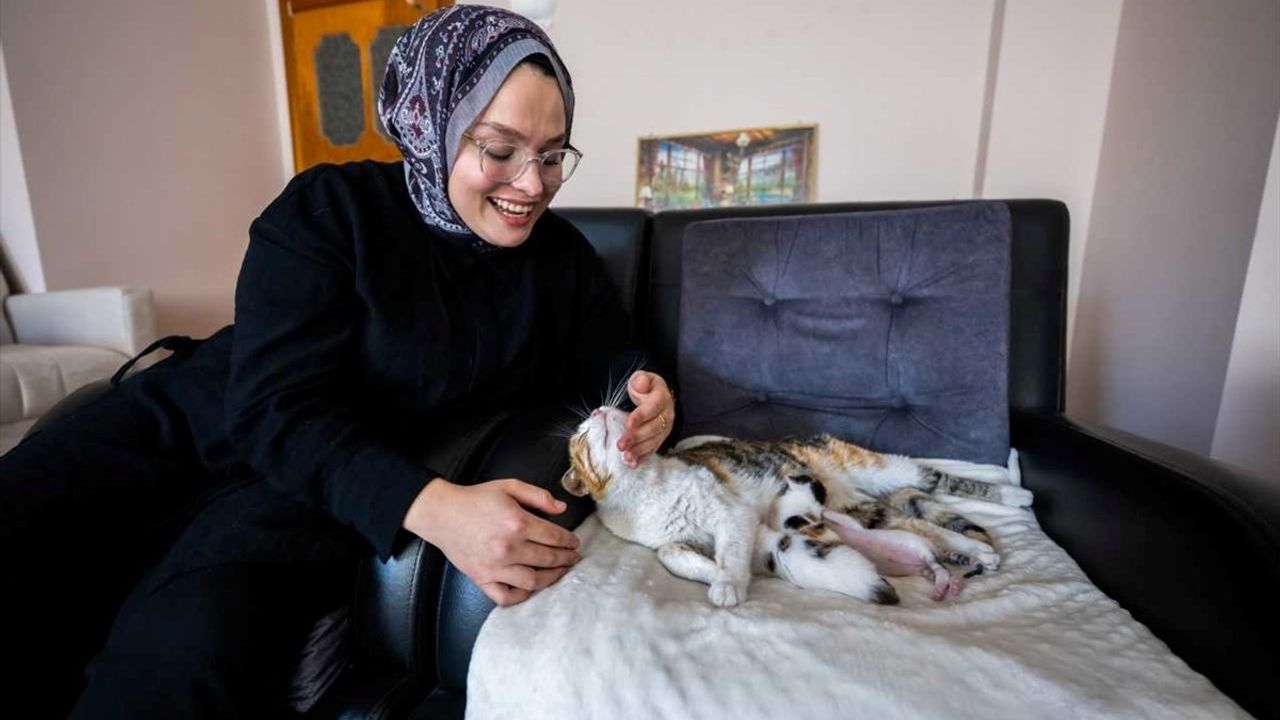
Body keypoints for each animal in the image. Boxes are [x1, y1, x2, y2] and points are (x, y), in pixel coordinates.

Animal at [560, 404, 1029, 604]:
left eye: (619, 409)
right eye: (581, 436)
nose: (599, 409)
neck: (644, 485)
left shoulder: (731, 512)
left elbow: (732, 549)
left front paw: (729, 583)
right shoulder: (668, 540)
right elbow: (674, 555)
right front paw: (712, 572)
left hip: (878, 468)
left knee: (934, 481)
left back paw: (1011, 496)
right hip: (859, 508)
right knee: (916, 521)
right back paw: (969, 551)